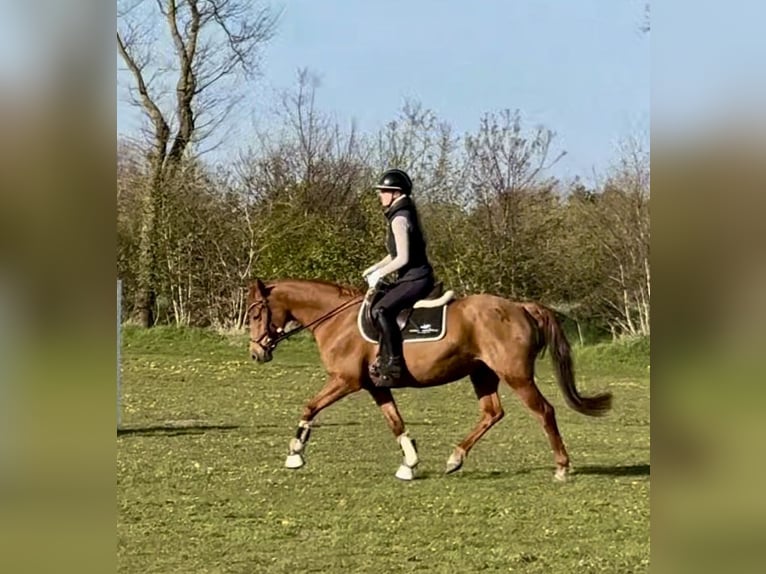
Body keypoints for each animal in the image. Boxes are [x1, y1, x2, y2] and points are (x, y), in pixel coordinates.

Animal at [245, 277, 612, 481]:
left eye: (255, 312)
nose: (256, 353)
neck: (337, 319)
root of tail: (520, 307)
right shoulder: (375, 387)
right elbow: (395, 422)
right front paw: (409, 463)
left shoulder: (345, 380)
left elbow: (310, 407)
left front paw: (295, 453)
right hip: (482, 374)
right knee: (492, 413)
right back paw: (455, 458)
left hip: (516, 375)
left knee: (544, 412)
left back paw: (562, 467)